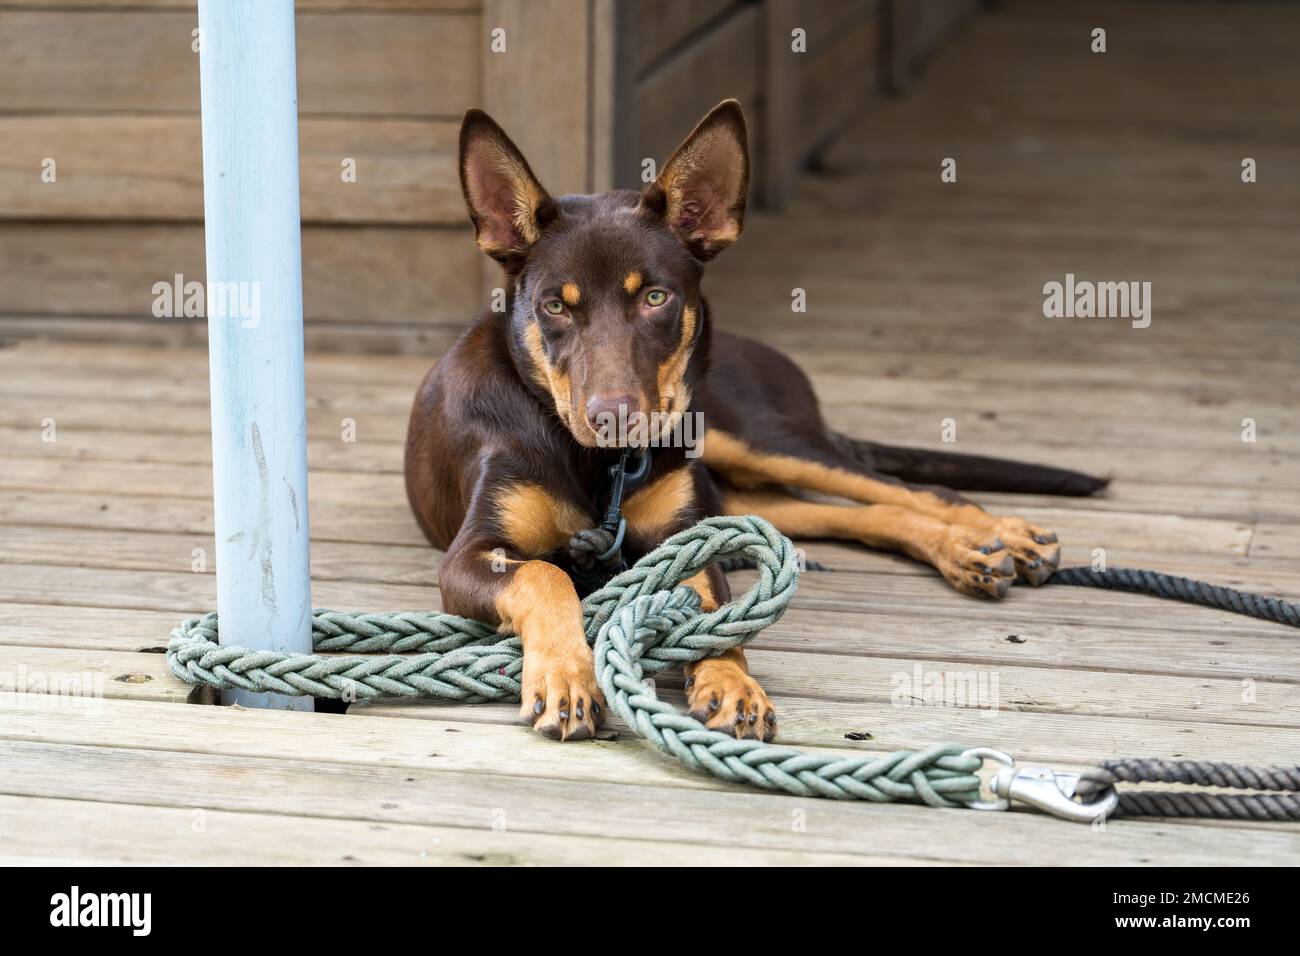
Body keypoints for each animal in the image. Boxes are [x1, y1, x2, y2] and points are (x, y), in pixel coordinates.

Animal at [405, 102, 1107, 749]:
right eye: (555, 305)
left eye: (655, 297)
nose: (615, 418)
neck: (595, 465)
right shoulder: (472, 552)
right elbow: (545, 574)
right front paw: (565, 676)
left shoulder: (687, 538)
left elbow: (714, 615)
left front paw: (731, 682)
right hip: (745, 490)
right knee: (862, 512)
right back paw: (971, 550)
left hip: (755, 440)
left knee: (911, 490)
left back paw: (999, 537)